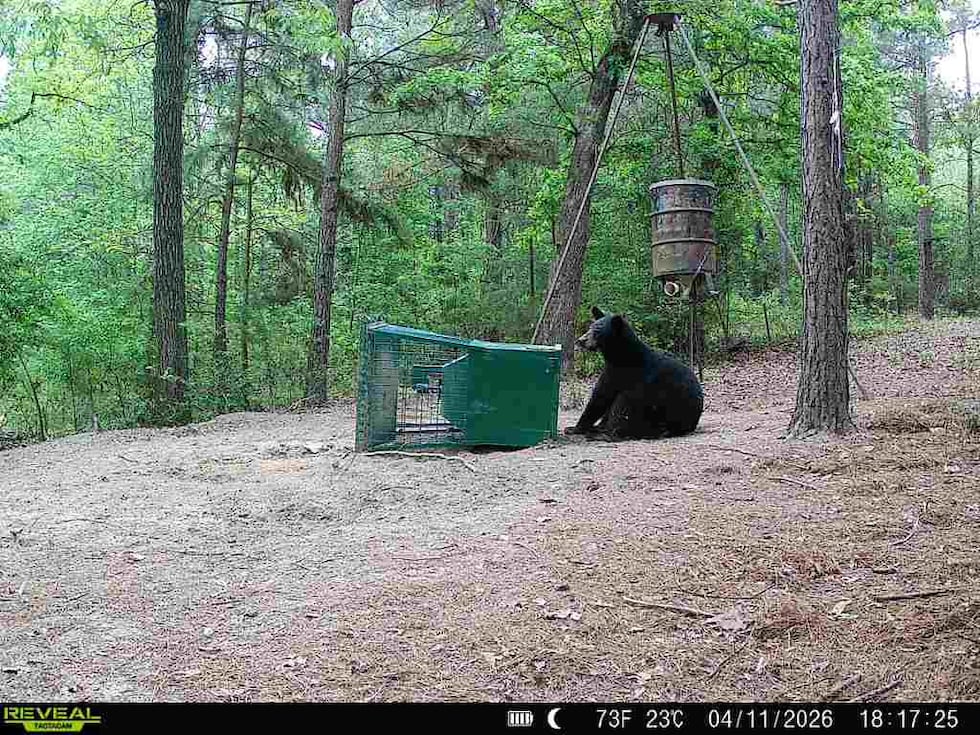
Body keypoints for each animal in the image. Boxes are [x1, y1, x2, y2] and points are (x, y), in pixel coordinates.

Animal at [564, 306, 703, 439]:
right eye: (590, 327)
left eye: (597, 330)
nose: (581, 340)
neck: (624, 359)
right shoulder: (611, 372)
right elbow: (600, 397)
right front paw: (575, 428)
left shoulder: (641, 378)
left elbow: (624, 405)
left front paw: (609, 433)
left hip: (668, 416)